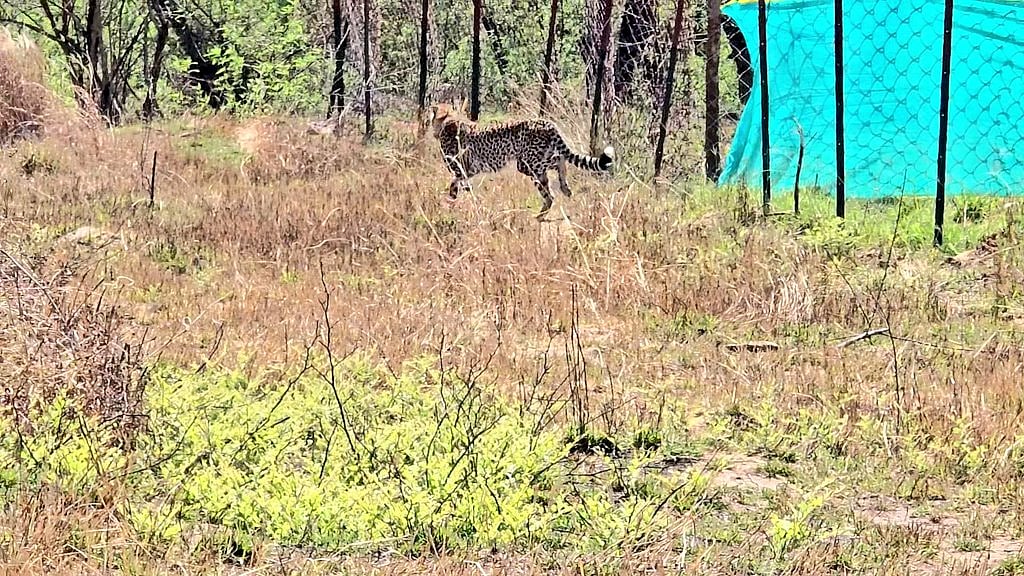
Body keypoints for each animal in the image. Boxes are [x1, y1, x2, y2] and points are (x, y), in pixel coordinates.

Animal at [428, 102, 615, 219]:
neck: (448, 120)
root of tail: (546, 122)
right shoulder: (468, 172)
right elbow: (466, 188)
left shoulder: (460, 170)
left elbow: (453, 186)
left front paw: (451, 204)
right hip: (535, 161)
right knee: (557, 165)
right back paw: (563, 190)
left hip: (528, 164)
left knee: (552, 183)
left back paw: (541, 214)